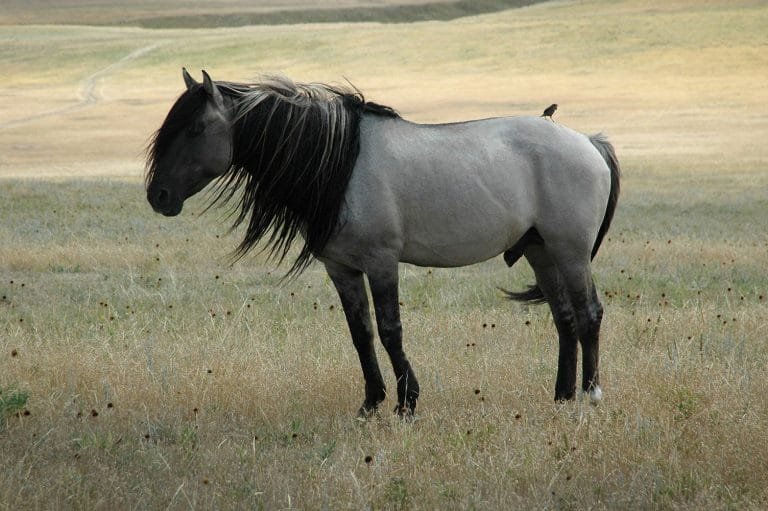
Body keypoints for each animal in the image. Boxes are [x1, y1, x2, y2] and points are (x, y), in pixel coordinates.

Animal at [145, 69, 620, 417]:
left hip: (571, 253)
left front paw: (407, 403)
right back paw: (561, 397)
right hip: (542, 253)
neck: (341, 162)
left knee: (589, 314)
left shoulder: (381, 262)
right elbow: (361, 333)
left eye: (197, 128)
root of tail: (589, 142)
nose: (158, 196)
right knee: (564, 319)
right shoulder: (341, 268)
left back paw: (591, 395)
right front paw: (370, 403)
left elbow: (391, 330)